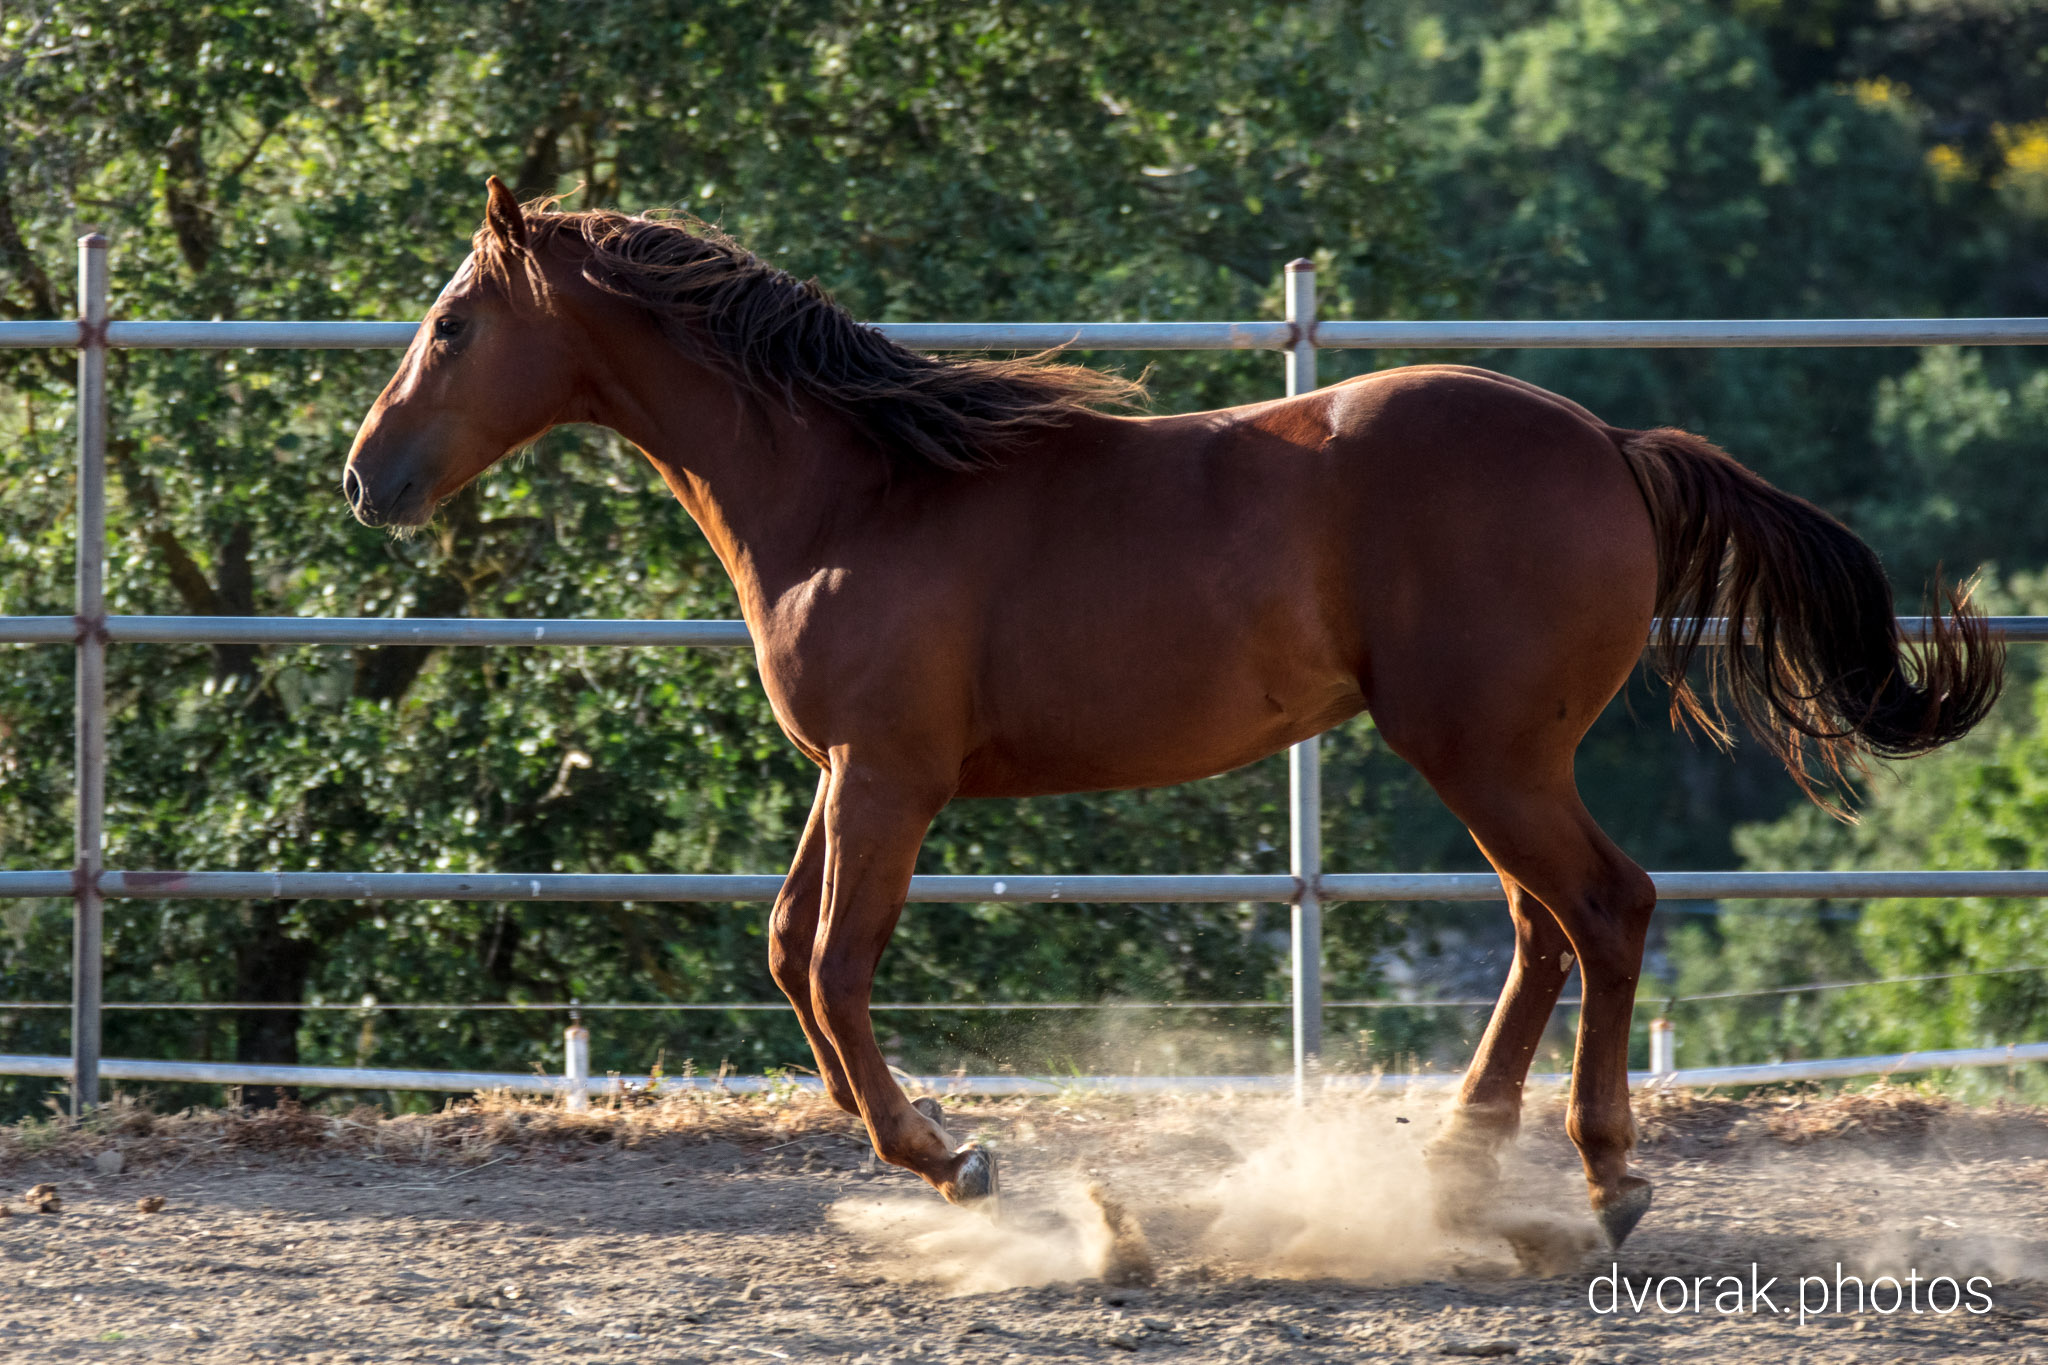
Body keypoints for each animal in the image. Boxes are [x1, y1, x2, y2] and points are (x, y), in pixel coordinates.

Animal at [344, 178, 2003, 1250]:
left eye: (450, 321)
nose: (369, 477)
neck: (856, 492)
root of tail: (1609, 440)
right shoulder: (847, 772)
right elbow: (787, 949)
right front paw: (937, 1153)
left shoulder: (887, 776)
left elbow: (832, 959)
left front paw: (953, 1162)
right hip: (1499, 755)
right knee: (1549, 929)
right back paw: (1460, 1167)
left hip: (1486, 751)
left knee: (1606, 906)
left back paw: (1604, 1181)